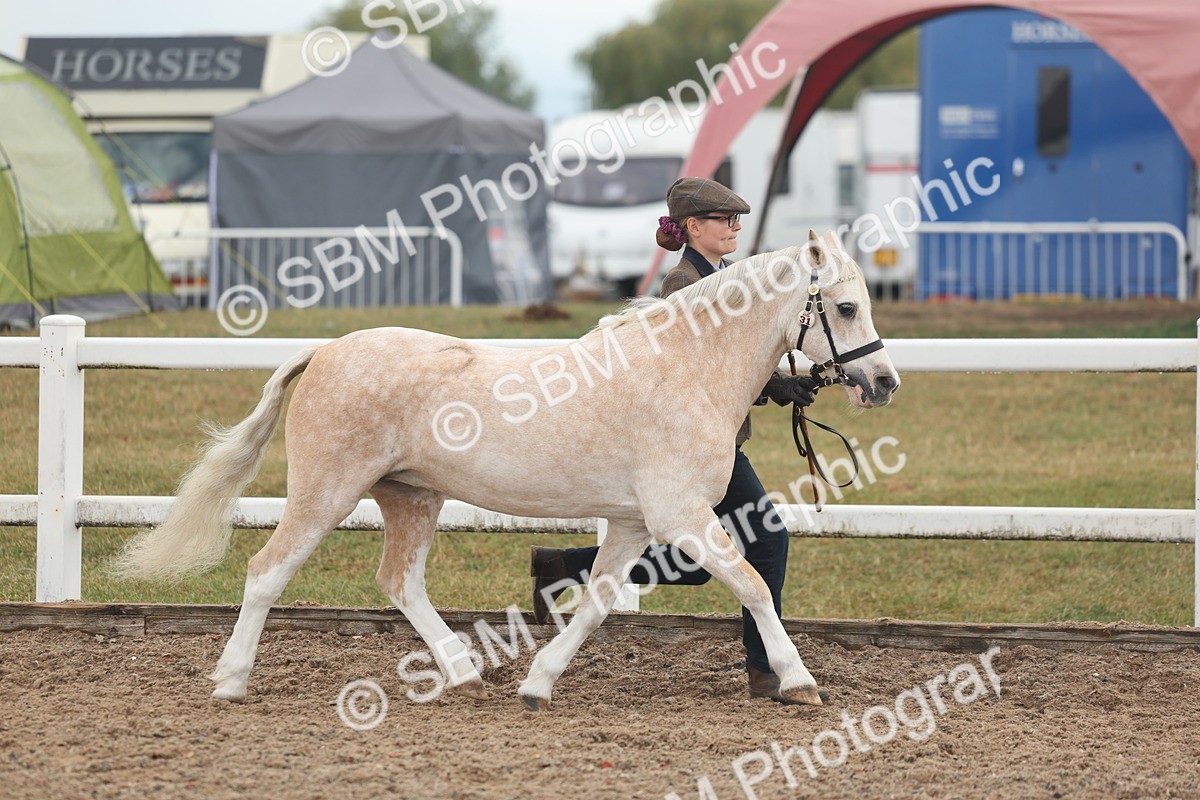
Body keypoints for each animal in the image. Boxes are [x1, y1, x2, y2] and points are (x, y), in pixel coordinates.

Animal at [112, 229, 899, 710]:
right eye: (847, 306)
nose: (885, 382)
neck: (685, 368)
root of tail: (327, 349)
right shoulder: (681, 518)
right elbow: (754, 586)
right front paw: (799, 681)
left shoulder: (632, 523)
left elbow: (598, 603)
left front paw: (538, 684)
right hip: (327, 492)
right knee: (266, 572)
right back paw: (231, 681)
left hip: (412, 498)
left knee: (399, 582)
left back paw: (462, 670)